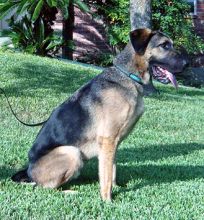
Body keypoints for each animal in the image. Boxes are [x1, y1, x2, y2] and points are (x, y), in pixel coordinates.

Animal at [11, 28, 188, 201]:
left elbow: (112, 170)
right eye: (164, 45)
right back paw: (69, 192)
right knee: (44, 187)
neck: (128, 77)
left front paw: (115, 189)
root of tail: (29, 171)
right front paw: (108, 200)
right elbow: (107, 175)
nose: (187, 64)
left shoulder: (114, 142)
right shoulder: (108, 139)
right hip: (72, 152)